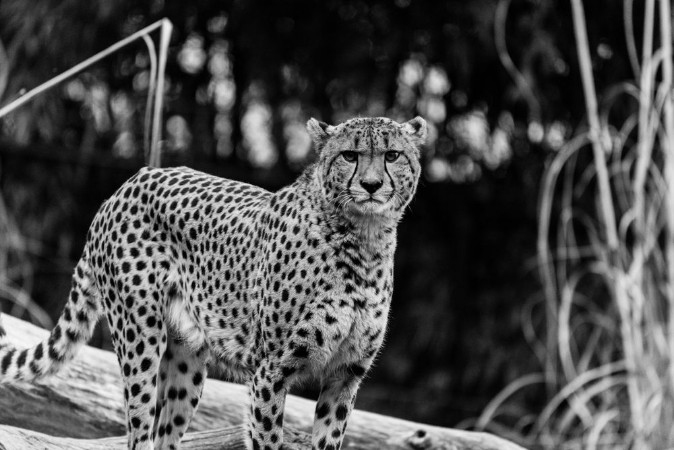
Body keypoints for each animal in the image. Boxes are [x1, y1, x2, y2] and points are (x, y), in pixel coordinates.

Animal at [0, 115, 427, 450]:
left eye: (392, 155)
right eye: (349, 156)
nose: (371, 185)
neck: (364, 240)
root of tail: (126, 186)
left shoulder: (345, 375)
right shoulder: (270, 371)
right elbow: (267, 437)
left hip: (185, 360)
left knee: (165, 435)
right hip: (140, 340)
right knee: (138, 432)